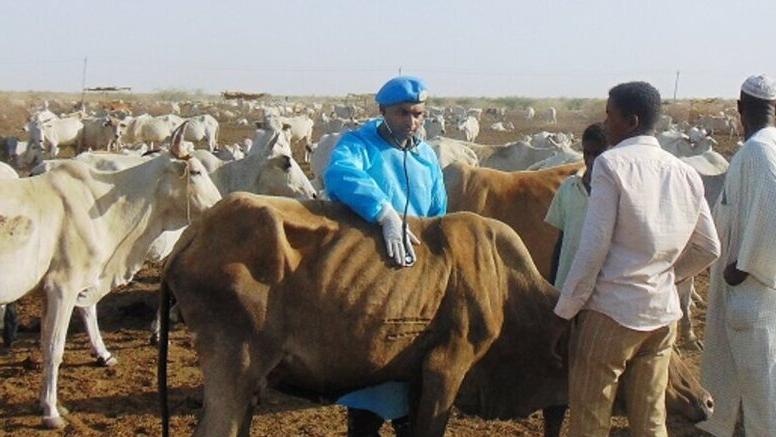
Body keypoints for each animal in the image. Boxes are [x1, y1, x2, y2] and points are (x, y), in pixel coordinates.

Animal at [0, 123, 222, 429]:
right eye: (197, 172)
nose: (222, 204)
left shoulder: (56, 288)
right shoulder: (61, 287)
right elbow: (54, 348)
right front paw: (51, 411)